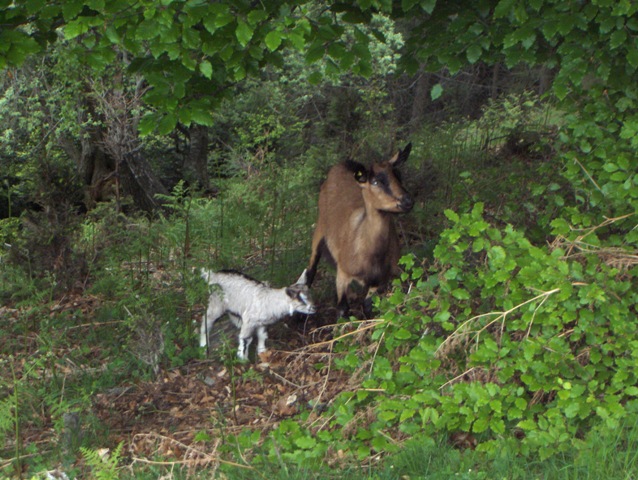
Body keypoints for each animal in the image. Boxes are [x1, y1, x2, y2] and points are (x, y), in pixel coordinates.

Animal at [308, 142, 418, 316]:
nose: (407, 201)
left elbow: (368, 306)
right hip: (319, 231)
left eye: (398, 175)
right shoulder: (343, 274)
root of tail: (342, 164)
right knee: (311, 271)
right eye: (375, 182)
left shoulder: (379, 279)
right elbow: (342, 308)